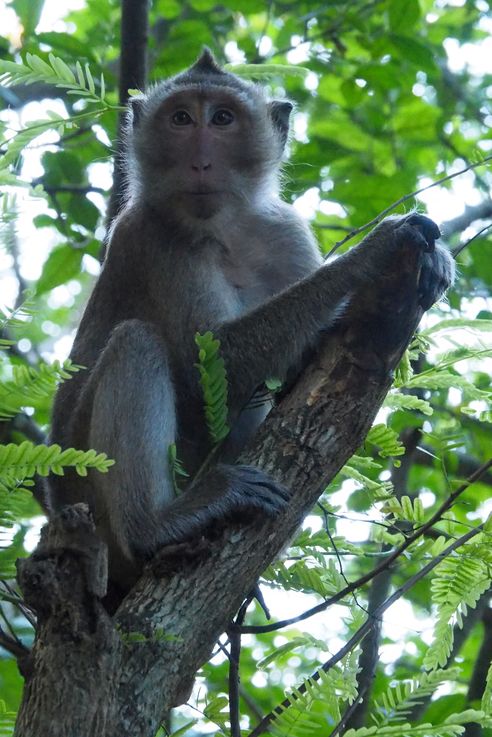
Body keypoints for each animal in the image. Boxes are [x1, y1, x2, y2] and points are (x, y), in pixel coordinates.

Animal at [47, 49, 454, 592]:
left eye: (222, 119)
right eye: (181, 119)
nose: (200, 161)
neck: (227, 229)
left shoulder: (285, 230)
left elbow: (302, 368)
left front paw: (432, 262)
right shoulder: (151, 237)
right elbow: (210, 365)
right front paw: (376, 251)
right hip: (88, 499)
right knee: (137, 342)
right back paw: (156, 526)